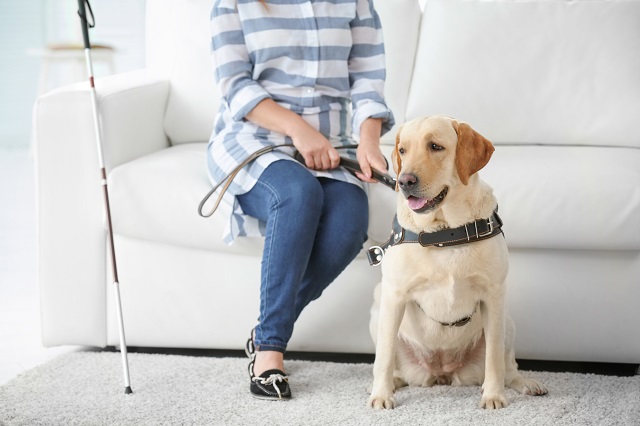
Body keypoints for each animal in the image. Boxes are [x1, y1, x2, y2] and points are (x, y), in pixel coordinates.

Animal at [368, 115, 548, 410]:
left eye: (435, 146)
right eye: (402, 150)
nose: (404, 181)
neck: (444, 233)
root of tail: (442, 371)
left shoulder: (494, 297)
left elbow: (494, 359)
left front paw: (493, 396)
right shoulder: (393, 296)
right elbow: (382, 357)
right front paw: (381, 395)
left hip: (507, 321)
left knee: (508, 367)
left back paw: (525, 384)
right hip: (377, 309)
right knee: (391, 362)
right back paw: (391, 382)